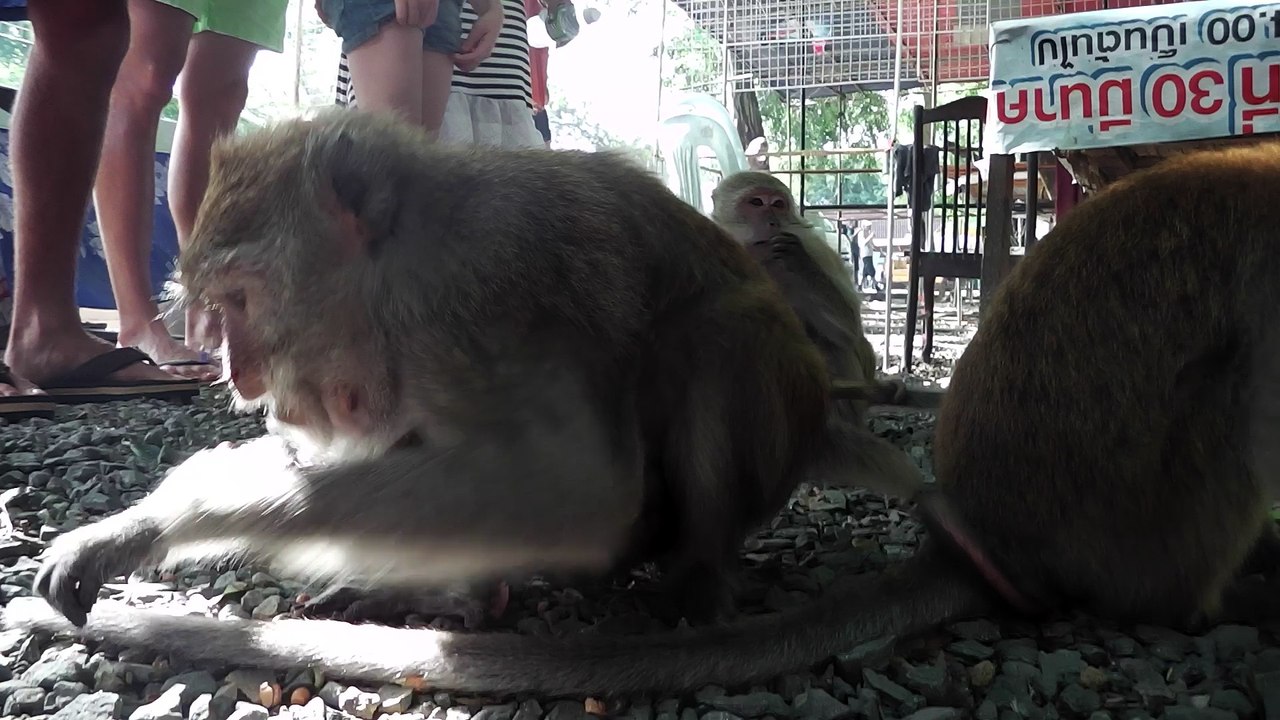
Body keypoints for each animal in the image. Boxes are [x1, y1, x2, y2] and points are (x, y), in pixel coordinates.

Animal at [710, 170, 906, 423]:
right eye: (756, 202)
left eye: (778, 204)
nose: (773, 222)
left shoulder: (814, 247)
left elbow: (849, 328)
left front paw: (799, 259)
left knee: (834, 344)